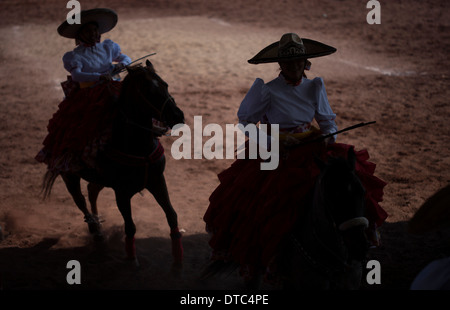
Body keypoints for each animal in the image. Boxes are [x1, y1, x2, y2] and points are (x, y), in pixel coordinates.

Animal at [40, 60, 185, 266]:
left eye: (165, 85)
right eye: (148, 91)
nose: (178, 116)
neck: (137, 146)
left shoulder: (157, 180)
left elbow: (172, 215)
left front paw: (178, 256)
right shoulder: (121, 193)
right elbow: (130, 226)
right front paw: (131, 258)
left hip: (100, 178)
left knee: (92, 191)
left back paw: (98, 226)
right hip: (69, 175)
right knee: (80, 199)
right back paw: (95, 230)